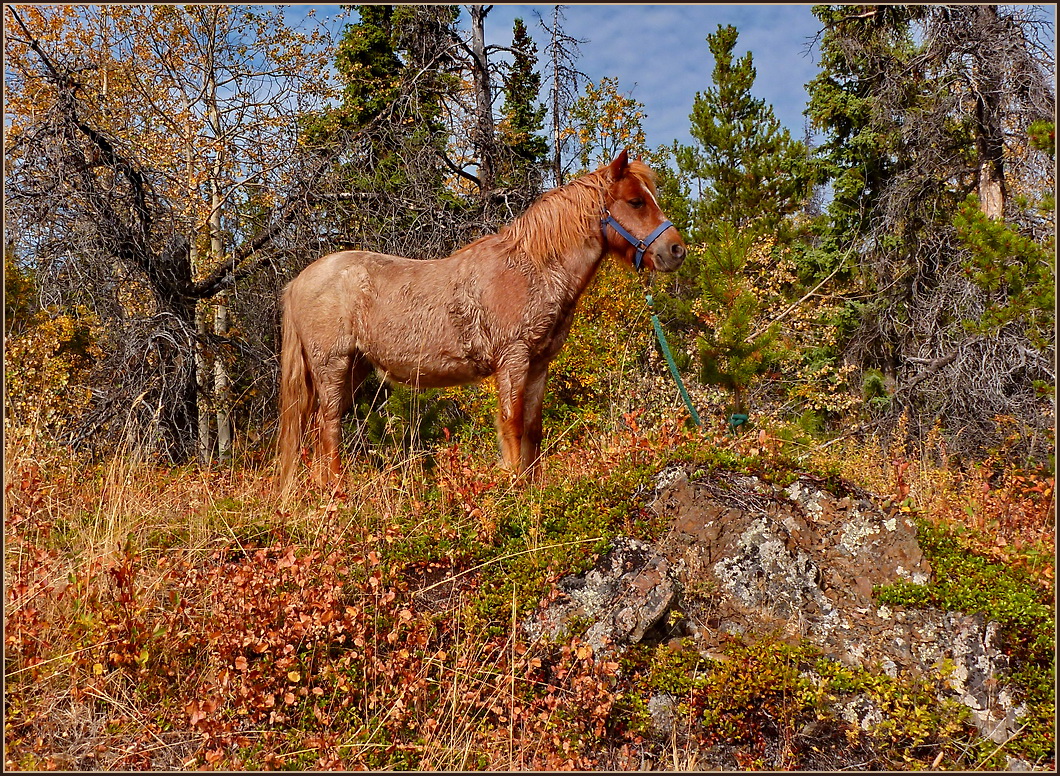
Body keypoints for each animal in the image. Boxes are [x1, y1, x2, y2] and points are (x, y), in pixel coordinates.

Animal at [277, 148, 682, 487]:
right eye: (635, 201)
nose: (676, 249)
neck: (532, 268)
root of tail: (299, 281)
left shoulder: (539, 365)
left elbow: (533, 428)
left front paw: (533, 490)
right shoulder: (513, 359)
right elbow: (512, 424)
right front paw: (514, 488)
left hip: (353, 367)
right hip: (333, 366)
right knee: (329, 427)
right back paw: (336, 491)